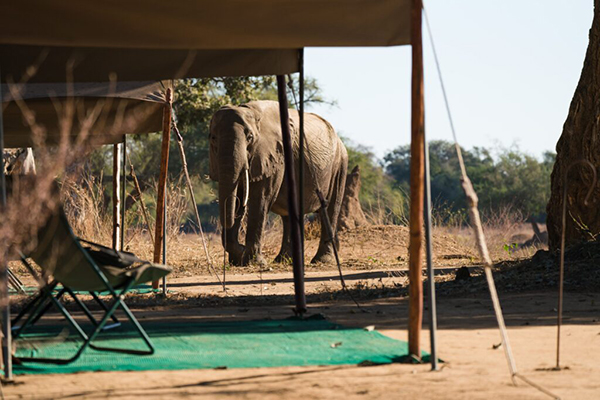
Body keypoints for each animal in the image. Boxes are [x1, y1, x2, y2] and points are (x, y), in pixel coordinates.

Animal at [210, 101, 346, 266]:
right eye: (213, 138)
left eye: (249, 137)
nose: (240, 248)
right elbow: (238, 199)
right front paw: (239, 259)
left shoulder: (275, 156)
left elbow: (260, 200)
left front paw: (255, 262)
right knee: (290, 213)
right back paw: (284, 261)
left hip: (339, 165)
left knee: (330, 208)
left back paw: (322, 261)